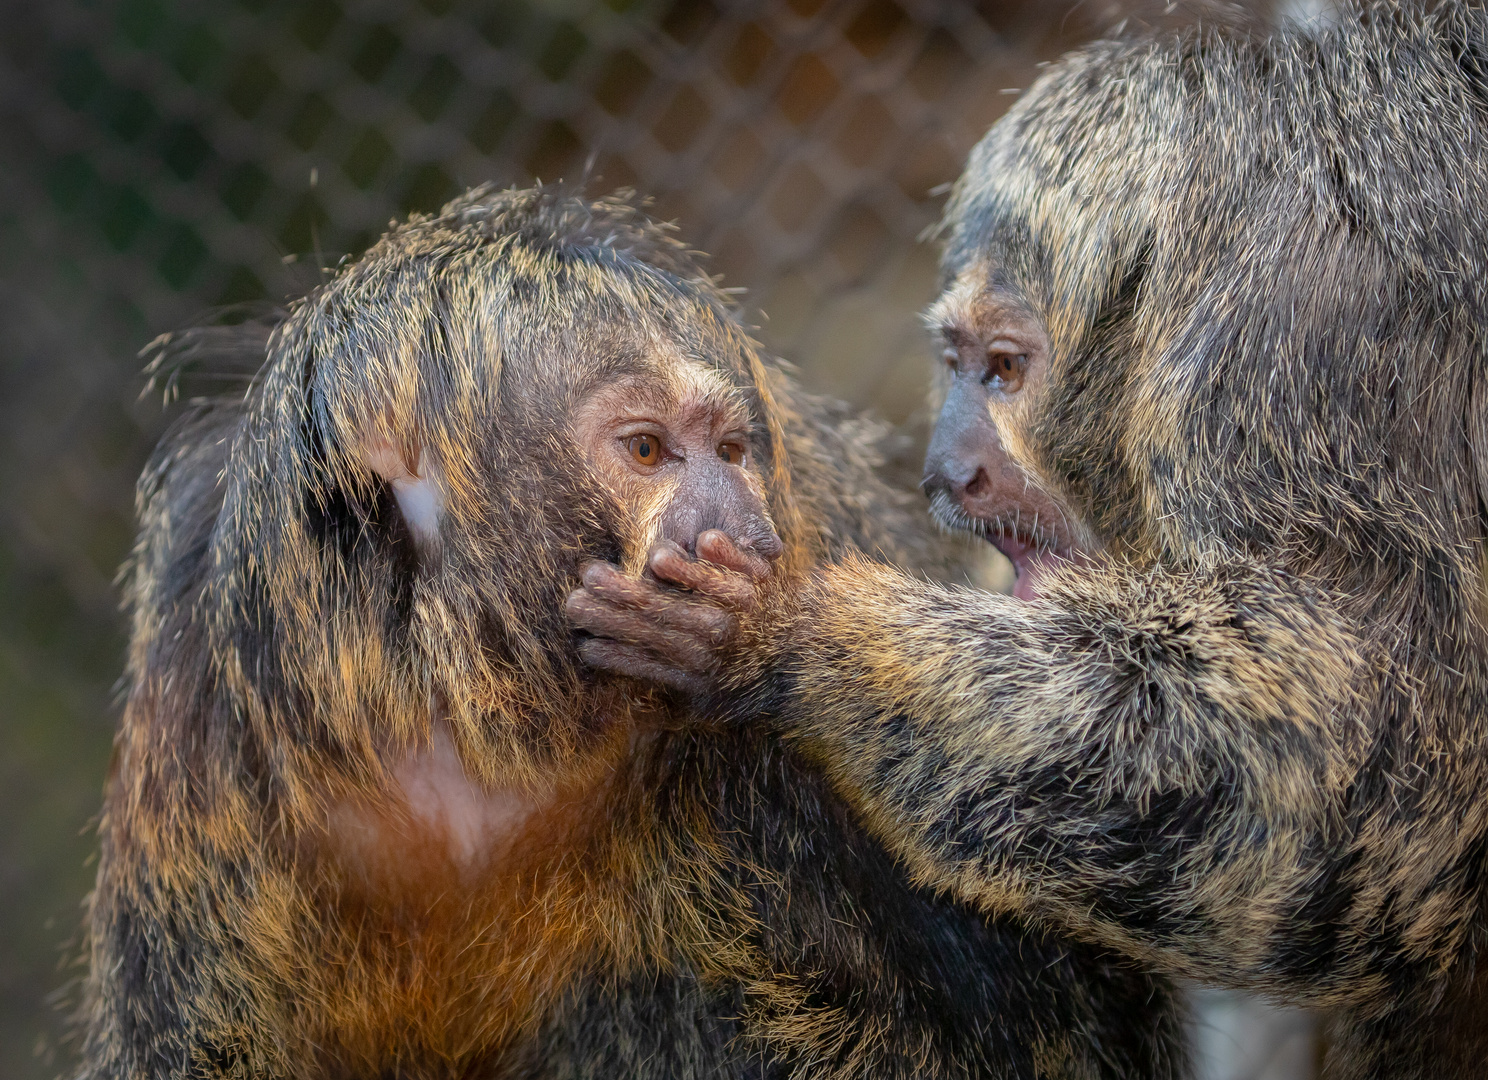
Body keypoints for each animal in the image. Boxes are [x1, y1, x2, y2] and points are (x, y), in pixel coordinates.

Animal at [562, 4, 1488, 1077]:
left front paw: (778, 638)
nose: (947, 469)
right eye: (955, 364)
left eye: (1003, 370)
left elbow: (1363, 726)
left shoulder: (1306, 330)